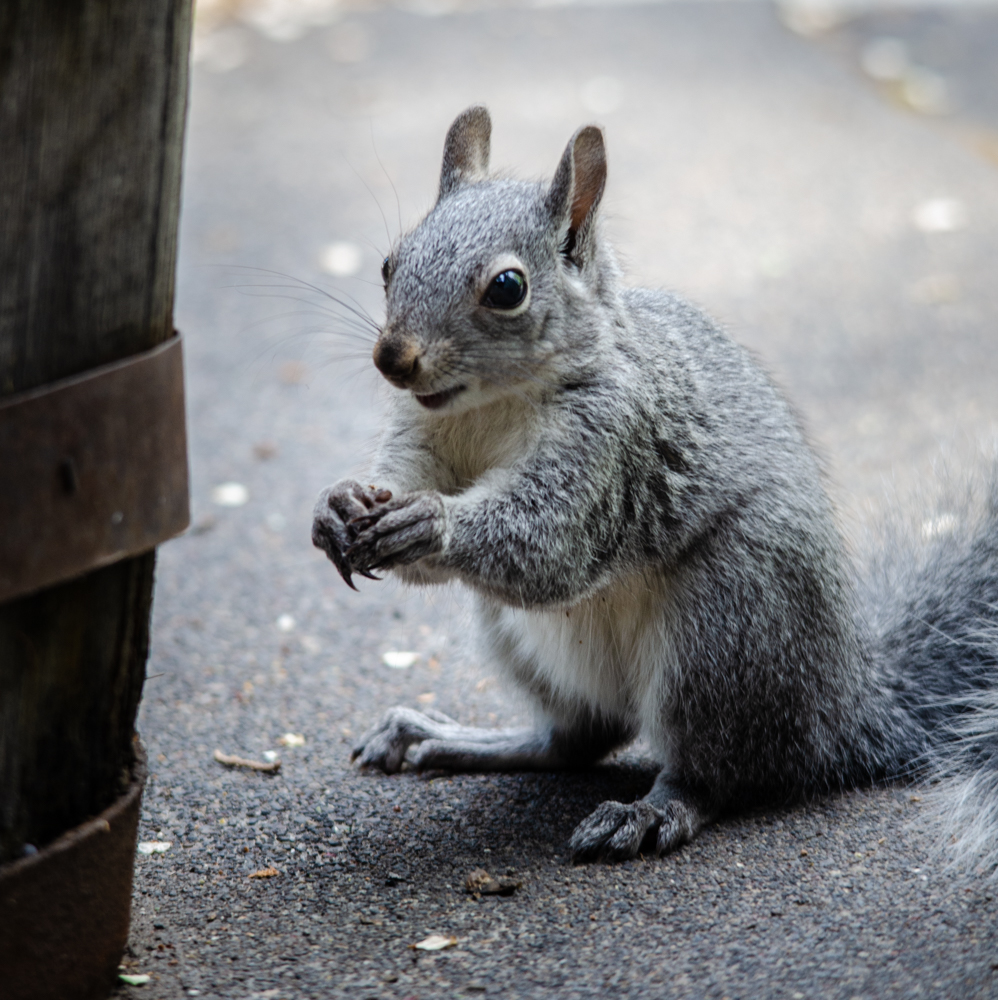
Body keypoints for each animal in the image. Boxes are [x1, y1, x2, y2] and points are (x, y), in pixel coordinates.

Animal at [312, 106, 998, 866]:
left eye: (507, 288)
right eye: (390, 264)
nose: (392, 358)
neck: (491, 405)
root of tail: (844, 707)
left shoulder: (613, 447)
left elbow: (548, 544)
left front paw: (429, 521)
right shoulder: (422, 432)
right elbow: (402, 484)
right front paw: (340, 505)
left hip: (725, 626)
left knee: (718, 774)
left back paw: (651, 811)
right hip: (520, 637)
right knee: (576, 740)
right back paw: (446, 736)